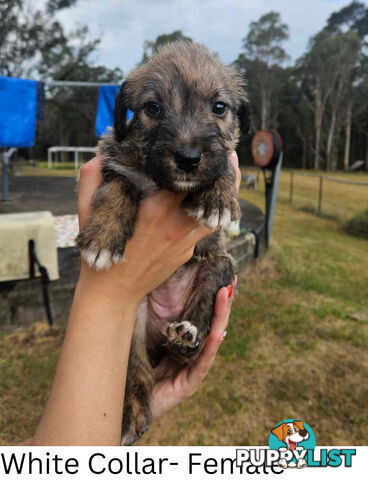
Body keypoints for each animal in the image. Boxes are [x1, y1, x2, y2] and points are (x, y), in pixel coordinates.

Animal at [77, 41, 250, 442]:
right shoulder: (114, 163)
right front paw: (104, 236)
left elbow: (227, 164)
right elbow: (120, 185)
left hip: (220, 269)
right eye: (153, 108)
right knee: (137, 369)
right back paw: (132, 412)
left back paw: (186, 337)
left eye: (219, 107)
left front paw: (219, 197)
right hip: (133, 323)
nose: (188, 158)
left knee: (195, 331)